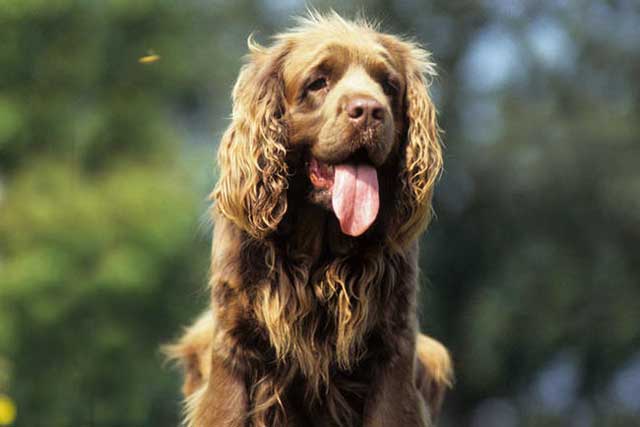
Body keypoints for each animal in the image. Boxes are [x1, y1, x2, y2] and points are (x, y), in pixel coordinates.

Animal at [168, 11, 452, 426]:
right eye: (318, 82)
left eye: (389, 85)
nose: (370, 111)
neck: (319, 256)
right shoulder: (233, 347)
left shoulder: (393, 349)